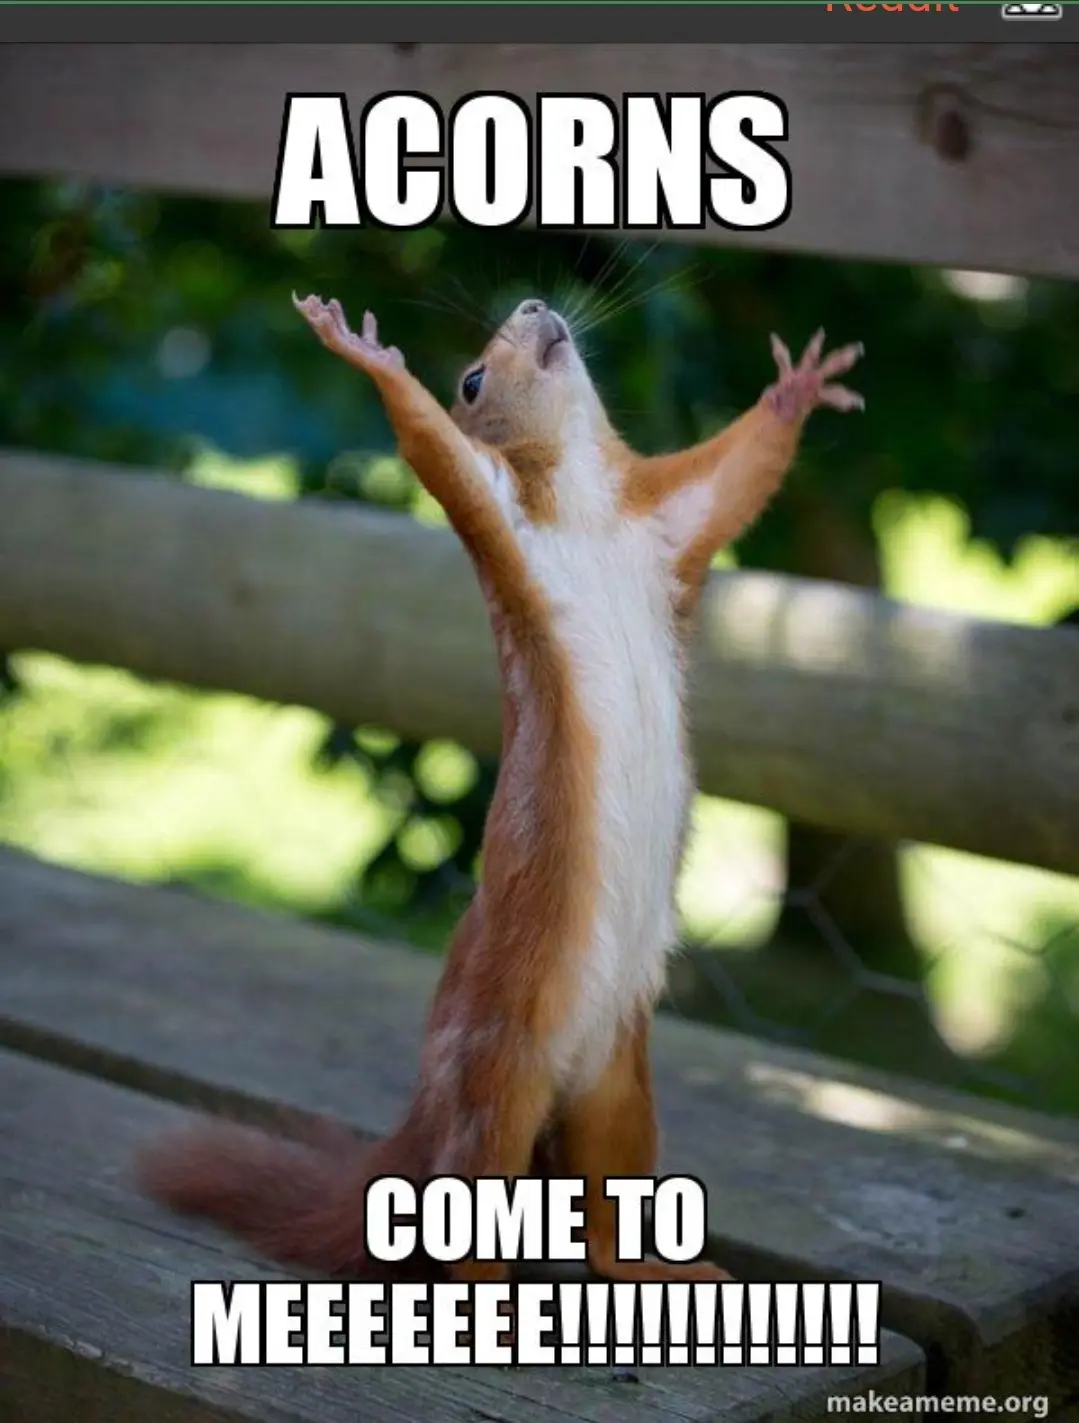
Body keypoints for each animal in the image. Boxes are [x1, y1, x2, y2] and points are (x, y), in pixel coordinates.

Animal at [138, 292, 863, 1288]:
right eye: (473, 378)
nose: (532, 305)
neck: (589, 510)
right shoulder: (499, 516)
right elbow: (433, 450)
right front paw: (367, 354)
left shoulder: (669, 522)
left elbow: (737, 474)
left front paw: (795, 389)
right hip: (495, 1078)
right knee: (473, 1210)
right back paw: (498, 1303)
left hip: (618, 1090)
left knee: (602, 1214)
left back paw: (659, 1272)